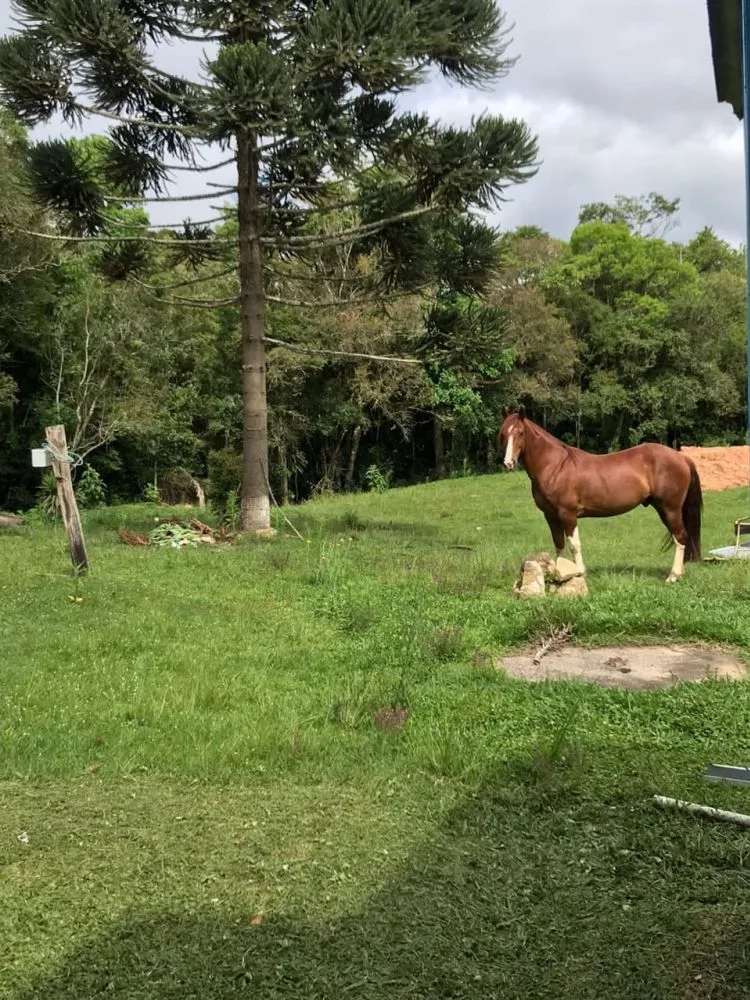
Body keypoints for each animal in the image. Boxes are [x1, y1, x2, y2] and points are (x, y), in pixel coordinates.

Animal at [497, 407, 703, 583]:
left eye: (520, 433)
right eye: (503, 433)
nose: (508, 463)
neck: (555, 466)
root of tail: (681, 457)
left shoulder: (567, 514)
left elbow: (574, 545)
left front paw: (579, 574)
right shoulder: (551, 516)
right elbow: (559, 544)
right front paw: (559, 575)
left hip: (670, 508)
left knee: (680, 537)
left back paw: (673, 576)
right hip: (664, 508)